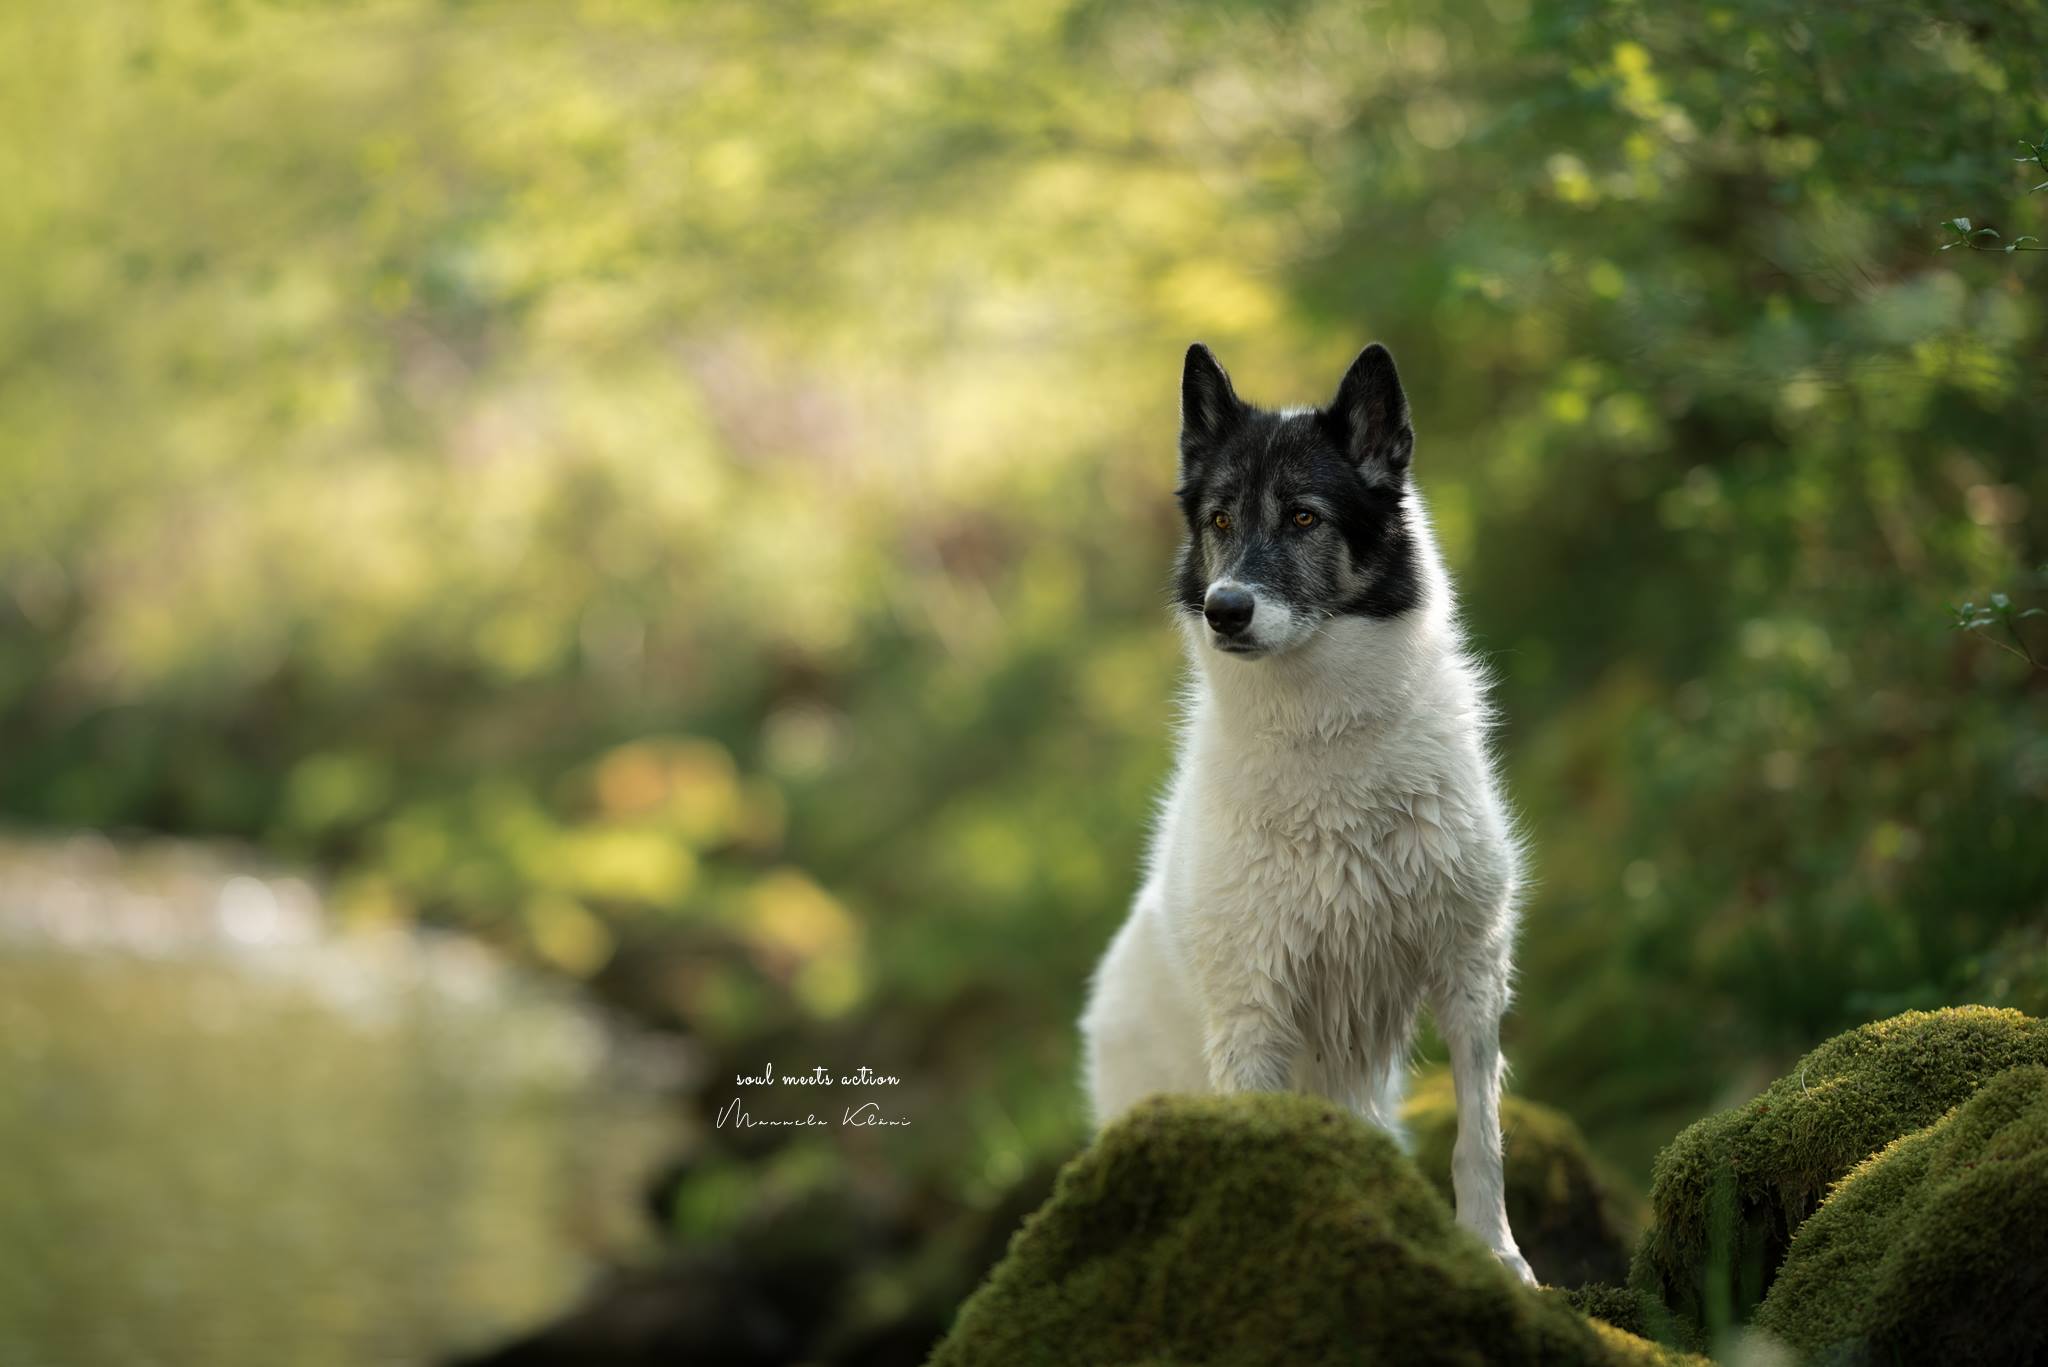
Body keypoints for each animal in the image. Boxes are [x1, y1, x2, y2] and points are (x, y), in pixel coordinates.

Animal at [1081, 340, 1531, 1287]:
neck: (1327, 742)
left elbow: (1480, 1139)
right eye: (1219, 519)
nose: (1226, 611)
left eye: (1302, 518)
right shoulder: (1255, 1021)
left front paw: (1497, 1256)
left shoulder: (1470, 975)